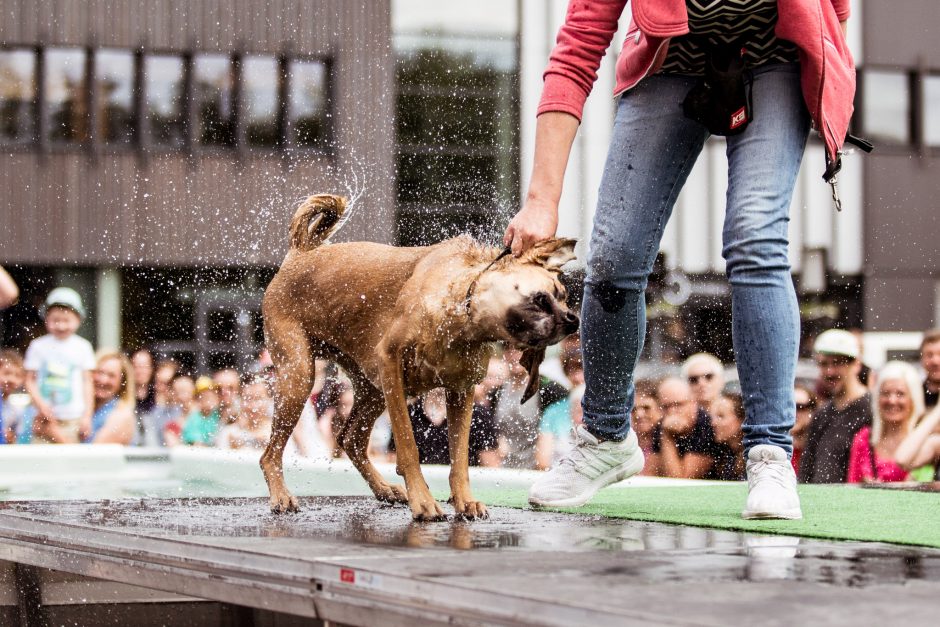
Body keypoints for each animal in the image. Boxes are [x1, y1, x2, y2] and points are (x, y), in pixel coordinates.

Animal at [258, 195, 580, 520]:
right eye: (546, 297)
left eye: (565, 297)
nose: (573, 320)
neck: (461, 310)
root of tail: (300, 253)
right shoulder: (391, 364)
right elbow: (408, 444)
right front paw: (423, 500)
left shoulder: (461, 390)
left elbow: (459, 457)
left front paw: (464, 500)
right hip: (301, 376)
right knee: (270, 454)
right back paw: (281, 496)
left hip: (372, 388)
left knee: (351, 439)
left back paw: (384, 489)